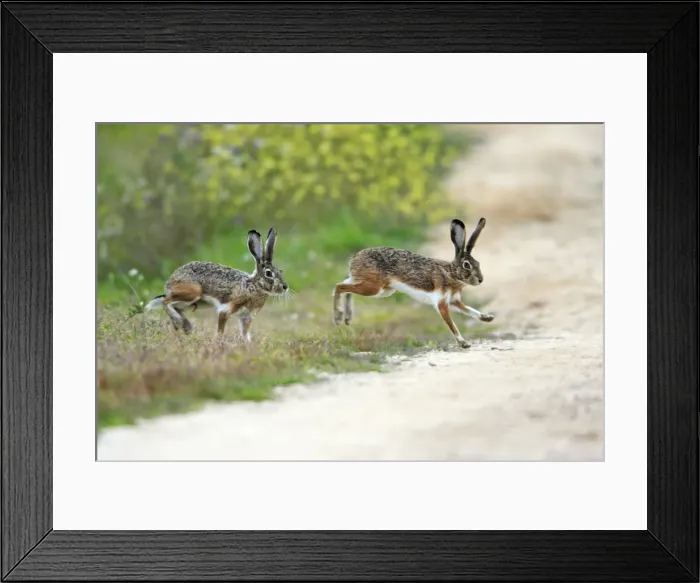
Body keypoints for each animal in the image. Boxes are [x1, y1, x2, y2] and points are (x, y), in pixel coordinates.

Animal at [146, 228, 287, 341]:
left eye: (281, 271)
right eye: (268, 273)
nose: (285, 287)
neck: (253, 286)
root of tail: (169, 283)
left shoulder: (246, 317)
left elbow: (245, 334)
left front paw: (248, 346)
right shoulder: (226, 310)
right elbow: (221, 330)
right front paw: (219, 343)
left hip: (196, 303)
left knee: (175, 306)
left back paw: (186, 327)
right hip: (193, 292)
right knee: (165, 301)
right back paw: (178, 322)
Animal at [332, 218, 495, 349]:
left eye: (478, 263)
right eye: (467, 265)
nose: (480, 280)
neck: (451, 273)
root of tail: (354, 259)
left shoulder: (454, 301)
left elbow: (470, 310)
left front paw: (487, 318)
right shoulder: (442, 303)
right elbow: (451, 324)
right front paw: (464, 343)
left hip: (381, 289)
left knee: (345, 286)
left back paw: (347, 318)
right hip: (375, 288)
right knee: (339, 287)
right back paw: (338, 317)